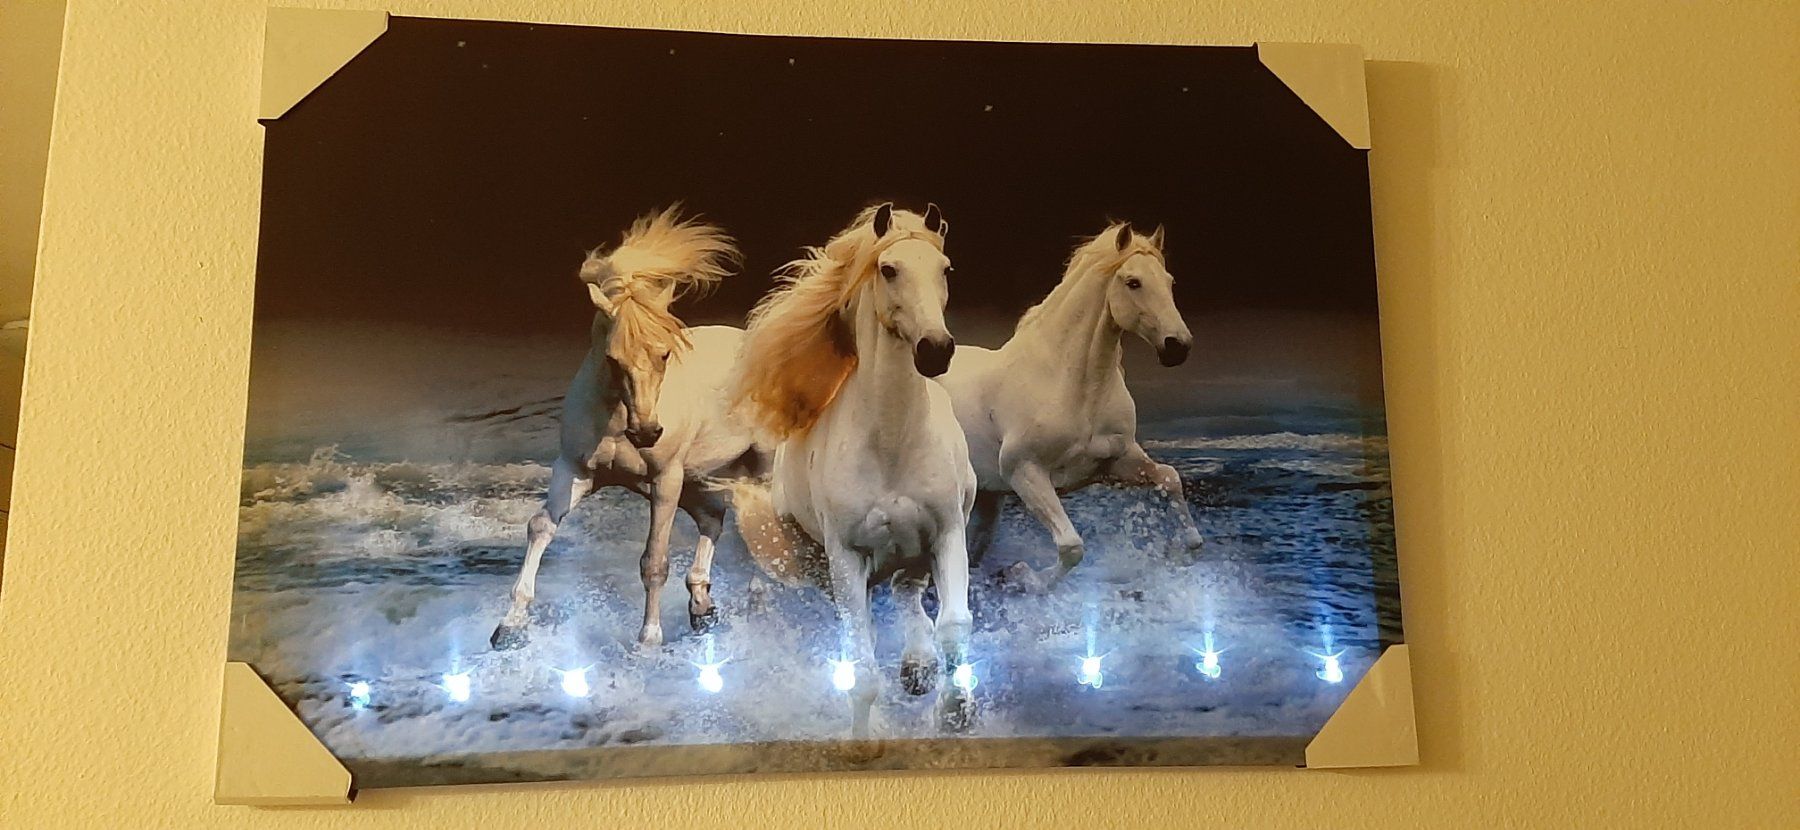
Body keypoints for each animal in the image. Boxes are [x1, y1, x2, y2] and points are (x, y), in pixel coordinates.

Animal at [490, 207, 764, 651]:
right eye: (612, 358)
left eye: (664, 354)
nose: (648, 432)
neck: (617, 422)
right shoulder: (576, 471)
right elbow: (540, 526)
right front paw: (509, 627)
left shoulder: (665, 480)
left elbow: (654, 561)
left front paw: (648, 641)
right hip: (700, 479)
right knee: (714, 519)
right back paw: (702, 607)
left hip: (757, 470)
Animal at [727, 203, 977, 737]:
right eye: (889, 269)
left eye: (945, 270)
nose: (935, 349)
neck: (891, 445)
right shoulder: (846, 555)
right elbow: (860, 665)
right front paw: (867, 738)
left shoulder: (947, 532)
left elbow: (953, 625)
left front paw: (955, 711)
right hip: (820, 561)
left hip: (912, 551)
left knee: (909, 596)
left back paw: (918, 668)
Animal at [935, 222, 1202, 591]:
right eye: (1133, 282)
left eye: (1169, 281)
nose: (1177, 346)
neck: (1071, 385)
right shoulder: (1026, 472)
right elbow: (1071, 546)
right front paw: (1025, 576)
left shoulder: (1117, 461)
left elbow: (1170, 479)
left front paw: (1183, 547)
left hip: (987, 499)